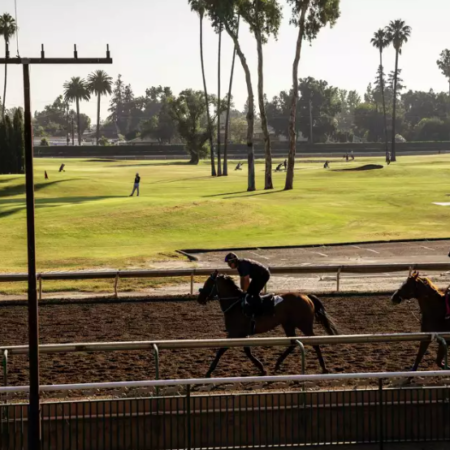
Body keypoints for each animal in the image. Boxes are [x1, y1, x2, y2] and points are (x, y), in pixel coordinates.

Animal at [197, 272, 338, 378]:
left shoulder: (234, 333)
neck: (236, 305)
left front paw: (209, 371)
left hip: (304, 325)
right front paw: (262, 369)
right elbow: (247, 351)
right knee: (293, 343)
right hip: (288, 324)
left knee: (315, 343)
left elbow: (221, 350)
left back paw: (324, 367)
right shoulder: (243, 334)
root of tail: (306, 296)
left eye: (208, 283)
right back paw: (277, 364)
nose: (200, 298)